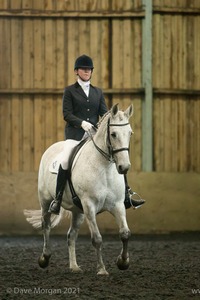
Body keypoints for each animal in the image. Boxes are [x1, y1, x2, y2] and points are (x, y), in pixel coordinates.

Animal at [24, 104, 134, 276]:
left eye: (130, 133)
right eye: (113, 134)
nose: (124, 167)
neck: (104, 168)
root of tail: (52, 147)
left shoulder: (117, 205)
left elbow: (125, 233)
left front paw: (122, 262)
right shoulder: (89, 206)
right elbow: (97, 239)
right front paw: (102, 269)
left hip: (78, 211)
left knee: (71, 235)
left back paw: (74, 266)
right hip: (46, 201)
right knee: (46, 225)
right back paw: (44, 258)